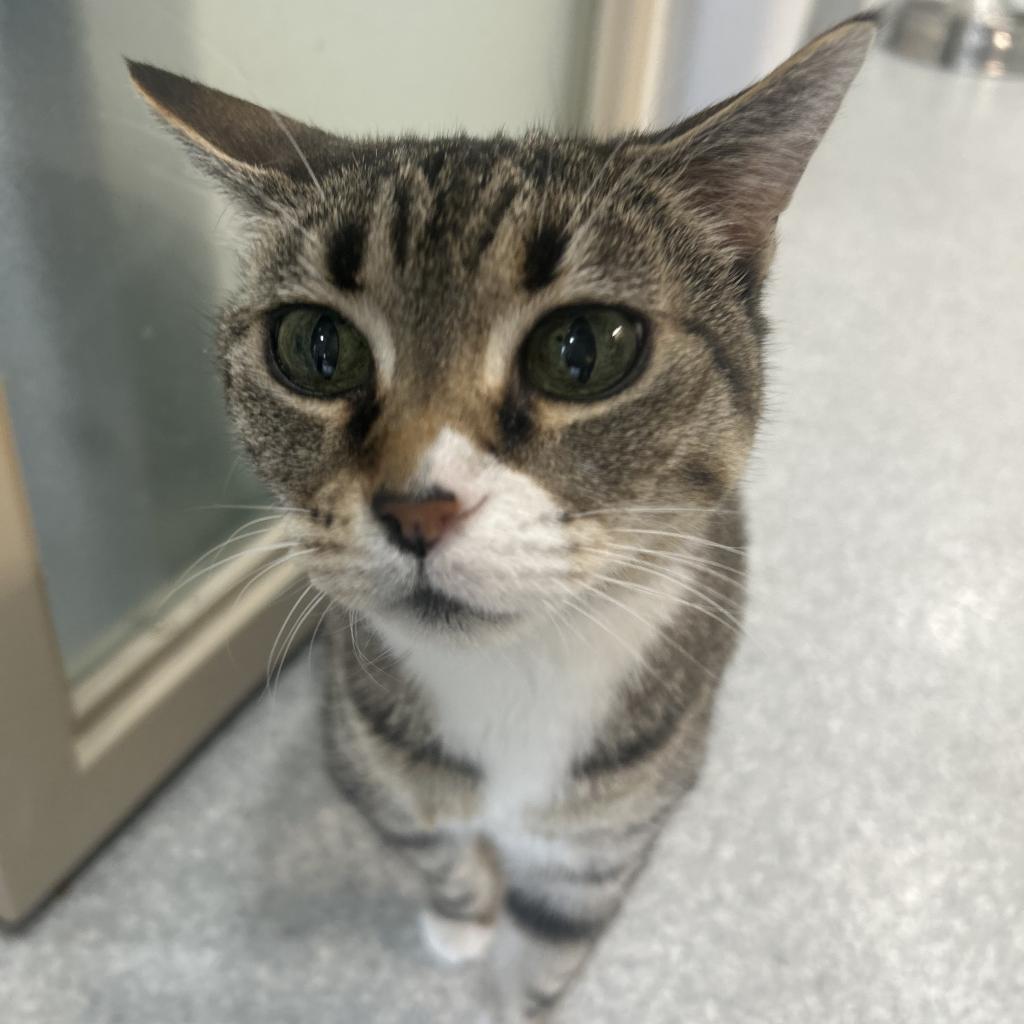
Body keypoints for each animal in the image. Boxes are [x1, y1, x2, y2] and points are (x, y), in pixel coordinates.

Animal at [132, 18, 876, 1024]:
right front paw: (460, 921)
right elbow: (436, 849)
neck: (512, 682)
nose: (417, 505)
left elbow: (552, 947)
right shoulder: (368, 755)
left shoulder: (605, 844)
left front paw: (514, 979)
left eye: (583, 349)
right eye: (315, 348)